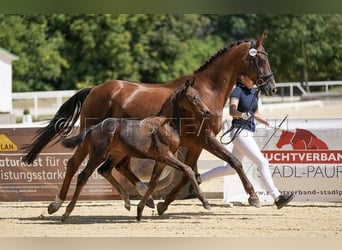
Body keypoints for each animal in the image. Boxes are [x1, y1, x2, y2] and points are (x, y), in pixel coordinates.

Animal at [60, 78, 212, 221]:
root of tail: (95, 127)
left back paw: (127, 202)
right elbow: (188, 169)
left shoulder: (161, 160)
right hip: (98, 155)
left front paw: (140, 210)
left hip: (117, 154)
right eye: (193, 97)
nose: (207, 111)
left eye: (199, 95)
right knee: (82, 175)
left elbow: (153, 183)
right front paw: (205, 202)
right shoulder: (166, 155)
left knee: (104, 170)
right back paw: (65, 212)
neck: (166, 124)